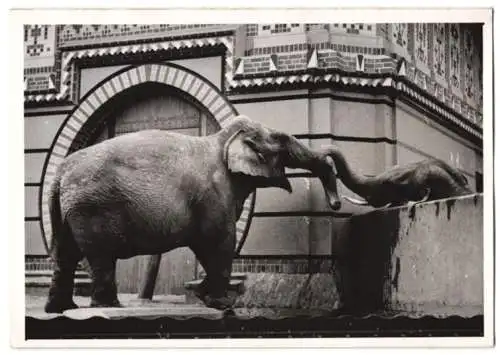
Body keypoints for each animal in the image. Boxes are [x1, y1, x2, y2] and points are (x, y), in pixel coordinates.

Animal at [45, 115, 342, 312]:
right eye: (280, 140)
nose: (336, 204)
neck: (222, 139)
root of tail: (60, 173)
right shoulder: (214, 193)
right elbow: (220, 241)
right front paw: (221, 304)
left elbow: (206, 244)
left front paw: (203, 294)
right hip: (93, 209)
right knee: (100, 256)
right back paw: (108, 306)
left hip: (65, 211)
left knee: (65, 254)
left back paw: (62, 309)